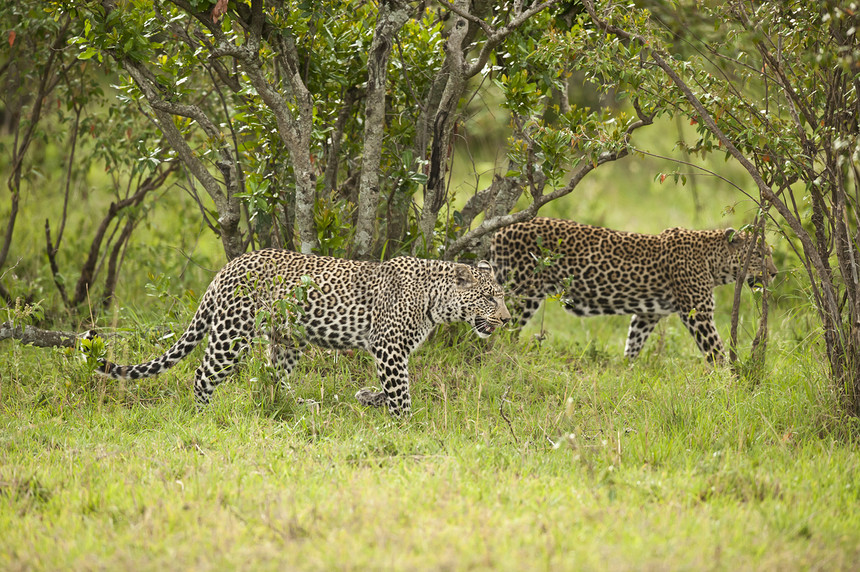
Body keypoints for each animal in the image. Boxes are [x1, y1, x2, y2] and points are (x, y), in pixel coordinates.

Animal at [94, 250, 510, 416]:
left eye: (502, 297)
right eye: (490, 297)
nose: (506, 320)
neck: (437, 301)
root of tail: (226, 267)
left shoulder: (394, 352)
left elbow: (394, 386)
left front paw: (368, 398)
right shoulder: (388, 347)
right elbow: (401, 391)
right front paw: (406, 424)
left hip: (286, 340)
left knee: (275, 380)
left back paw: (297, 406)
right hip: (232, 333)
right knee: (201, 374)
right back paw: (202, 416)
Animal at [490, 217, 780, 364]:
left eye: (769, 253)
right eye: (758, 255)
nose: (775, 273)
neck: (713, 261)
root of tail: (500, 230)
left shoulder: (648, 314)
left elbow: (633, 343)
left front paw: (626, 372)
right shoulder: (697, 313)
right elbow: (716, 351)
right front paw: (731, 380)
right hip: (522, 292)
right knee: (504, 330)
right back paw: (504, 356)